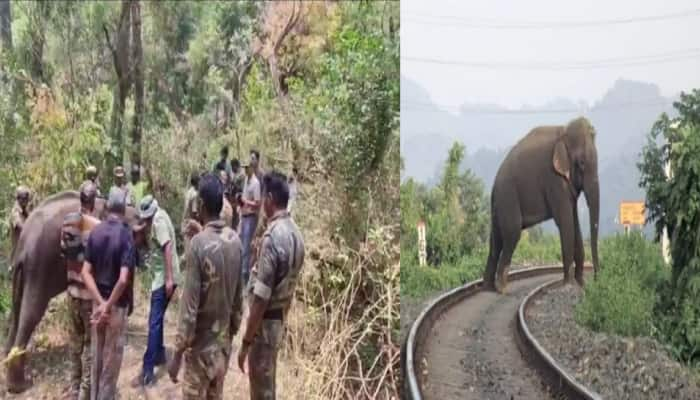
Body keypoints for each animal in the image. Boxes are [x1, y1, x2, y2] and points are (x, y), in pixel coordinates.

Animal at [2, 191, 139, 394]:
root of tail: (24, 243)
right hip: (39, 266)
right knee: (31, 313)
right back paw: (19, 385)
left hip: (22, 270)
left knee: (16, 308)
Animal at [482, 117, 600, 292]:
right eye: (582, 163)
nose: (597, 279)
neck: (564, 132)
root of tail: (494, 184)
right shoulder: (553, 179)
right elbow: (565, 222)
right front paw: (569, 284)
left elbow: (574, 221)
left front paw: (581, 284)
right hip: (508, 196)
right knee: (512, 233)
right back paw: (501, 289)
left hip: (499, 203)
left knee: (495, 239)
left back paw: (488, 287)